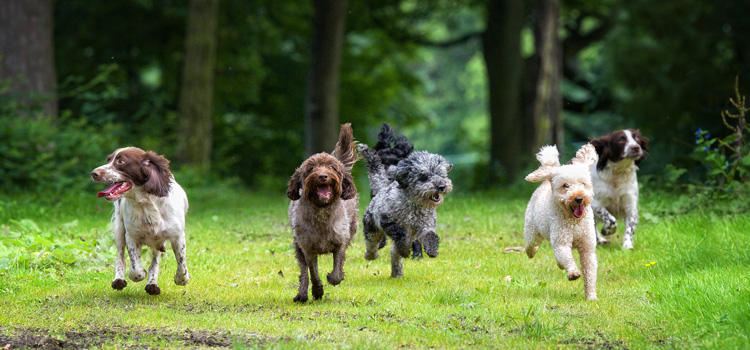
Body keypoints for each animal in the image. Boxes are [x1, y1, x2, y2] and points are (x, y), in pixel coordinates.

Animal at [92, 146, 191, 294]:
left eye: (121, 161)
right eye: (108, 160)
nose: (94, 173)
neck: (145, 204)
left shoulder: (177, 236)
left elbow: (181, 264)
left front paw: (181, 279)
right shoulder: (132, 236)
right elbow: (135, 269)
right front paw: (140, 274)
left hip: (159, 241)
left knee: (155, 261)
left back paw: (152, 284)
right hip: (119, 229)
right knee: (120, 258)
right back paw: (119, 280)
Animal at [286, 123, 360, 304]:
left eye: (332, 168)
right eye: (311, 168)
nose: (323, 176)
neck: (321, 211)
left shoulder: (340, 241)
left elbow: (337, 268)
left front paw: (334, 277)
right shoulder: (307, 248)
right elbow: (312, 273)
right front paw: (317, 291)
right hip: (298, 246)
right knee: (304, 273)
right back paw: (302, 294)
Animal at [524, 144, 604, 300]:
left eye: (583, 183)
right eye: (565, 185)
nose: (579, 198)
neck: (575, 222)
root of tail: (546, 181)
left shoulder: (587, 248)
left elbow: (590, 273)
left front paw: (591, 296)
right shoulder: (561, 242)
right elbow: (567, 258)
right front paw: (573, 273)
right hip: (532, 230)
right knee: (531, 243)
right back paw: (530, 252)